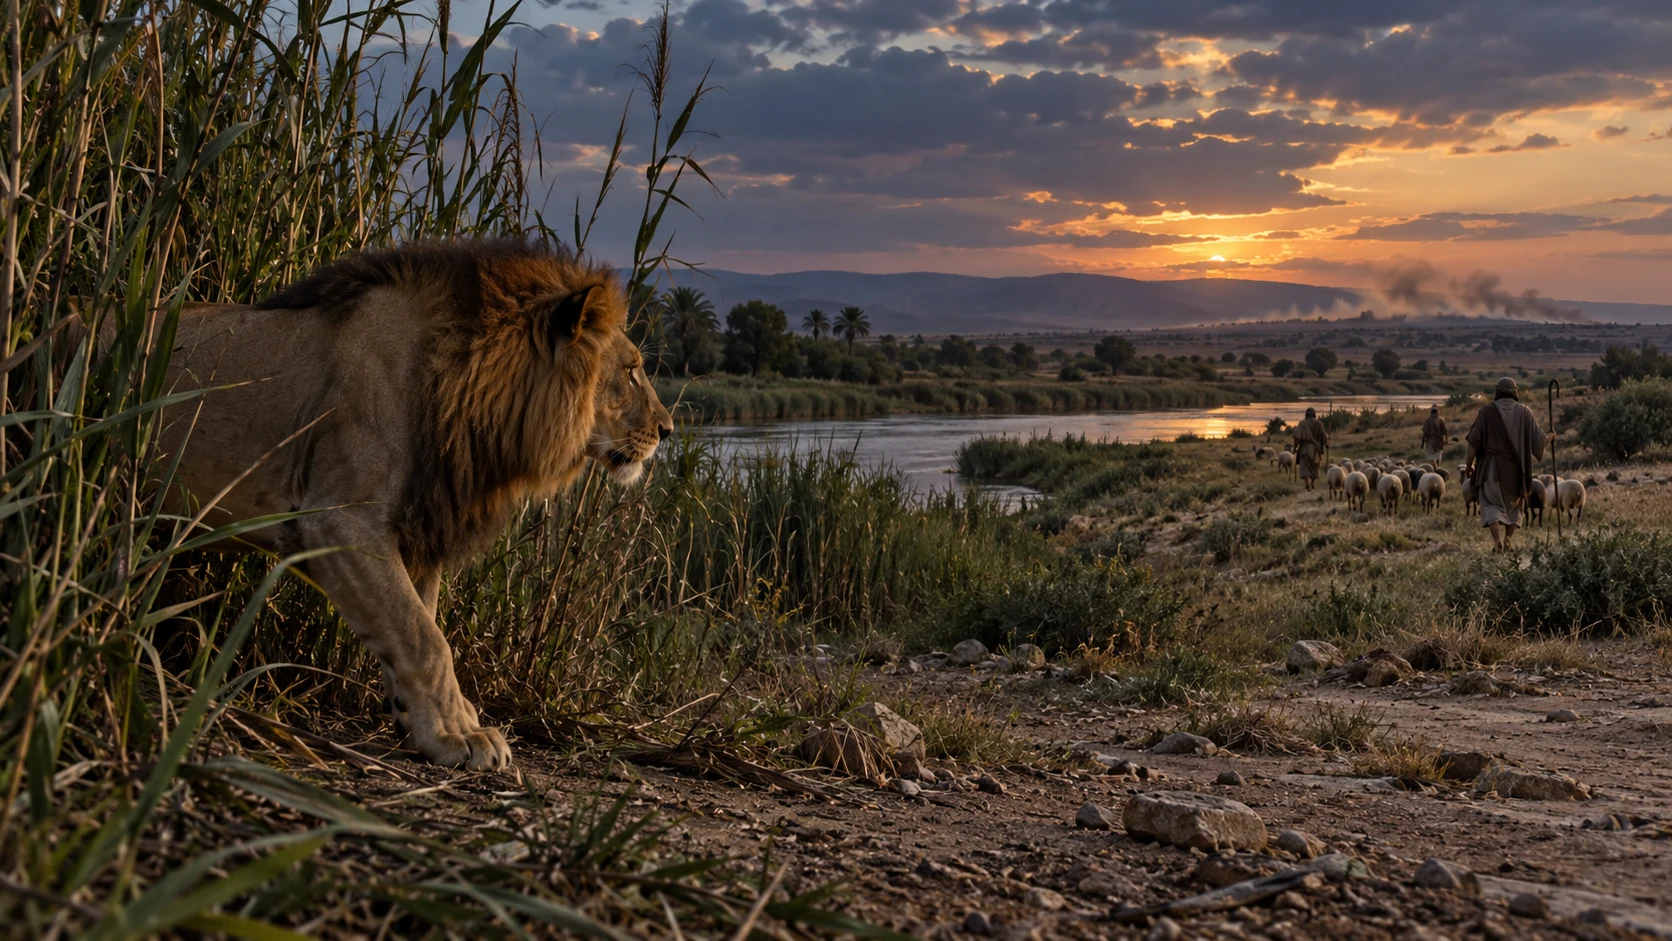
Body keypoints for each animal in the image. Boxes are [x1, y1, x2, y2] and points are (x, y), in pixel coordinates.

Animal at [156, 238, 673, 769]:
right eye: (631, 372)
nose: (668, 430)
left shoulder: (419, 528)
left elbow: (417, 624)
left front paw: (431, 724)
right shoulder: (338, 520)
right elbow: (425, 639)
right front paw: (458, 735)